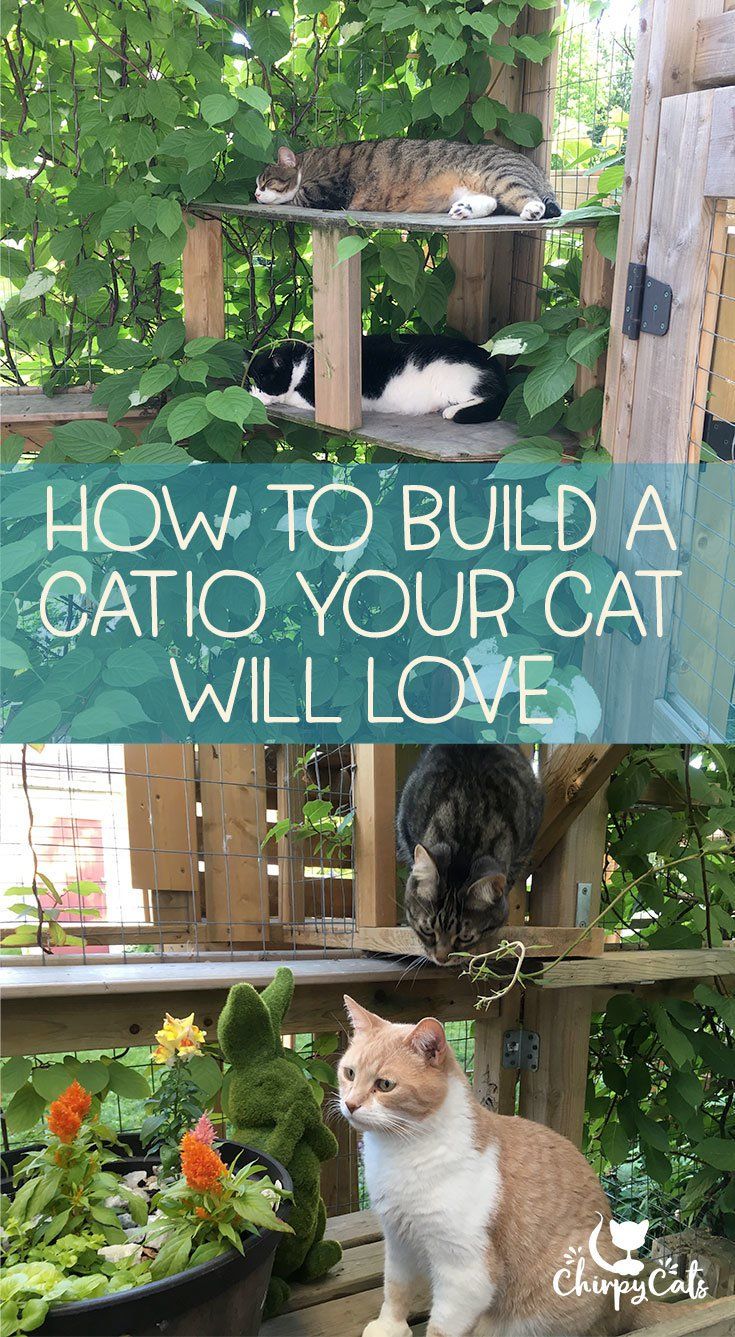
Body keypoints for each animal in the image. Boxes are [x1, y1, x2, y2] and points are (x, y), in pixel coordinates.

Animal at [219, 967, 344, 1320]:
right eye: (264, 1084)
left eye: (299, 1076)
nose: (306, 1098)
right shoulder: (257, 1143)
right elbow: (278, 1147)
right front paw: (296, 1113)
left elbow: (329, 1148)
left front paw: (310, 1117)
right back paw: (276, 1294)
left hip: (320, 1214)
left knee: (308, 1265)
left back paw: (323, 1257)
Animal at [247, 334, 507, 422]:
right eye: (249, 383)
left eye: (261, 383)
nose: (252, 393)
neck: (301, 362)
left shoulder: (317, 398)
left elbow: (289, 397)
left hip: (454, 379)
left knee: (488, 398)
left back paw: (451, 411)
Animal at [256, 137, 561, 220]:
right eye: (257, 185)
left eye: (266, 182)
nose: (256, 194)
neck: (311, 164)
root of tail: (534, 167)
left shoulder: (333, 186)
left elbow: (298, 195)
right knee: (492, 203)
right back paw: (464, 210)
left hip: (499, 174)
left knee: (526, 196)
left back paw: (533, 210)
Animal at [339, 1000, 694, 1337]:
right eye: (350, 1074)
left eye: (385, 1084)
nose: (351, 1104)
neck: (401, 1151)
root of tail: (626, 1296)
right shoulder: (399, 1241)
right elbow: (395, 1291)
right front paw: (390, 1327)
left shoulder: (466, 1271)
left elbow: (441, 1327)